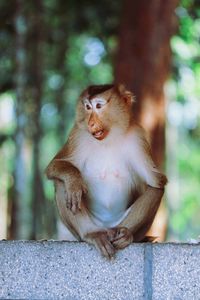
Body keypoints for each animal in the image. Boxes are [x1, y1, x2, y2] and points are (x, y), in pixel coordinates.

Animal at [45, 83, 167, 258]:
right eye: (87, 107)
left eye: (98, 106)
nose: (90, 123)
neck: (108, 139)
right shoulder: (77, 135)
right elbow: (54, 166)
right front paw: (74, 180)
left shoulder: (138, 137)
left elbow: (157, 181)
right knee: (61, 183)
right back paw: (91, 233)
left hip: (119, 222)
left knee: (156, 189)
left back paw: (125, 234)